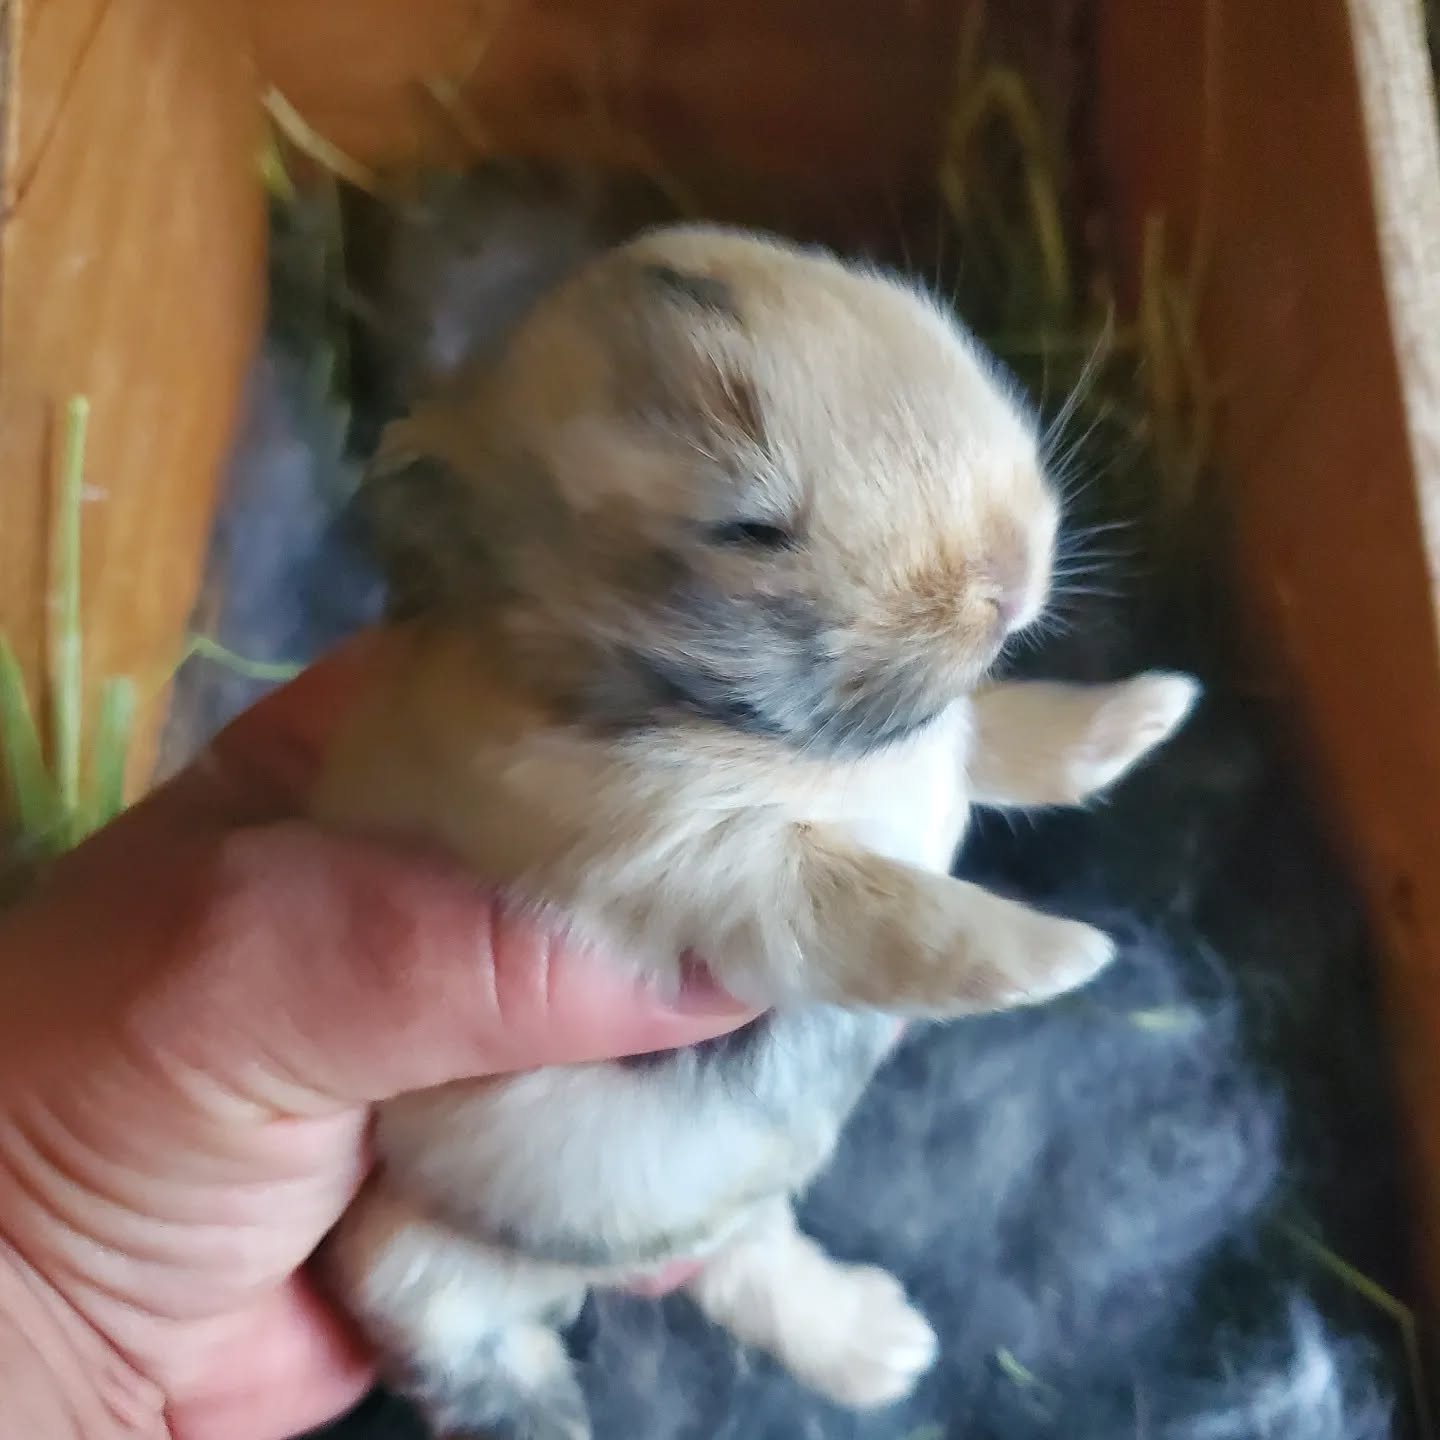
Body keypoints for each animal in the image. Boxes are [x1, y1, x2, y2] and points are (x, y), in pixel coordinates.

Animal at [309, 220, 1201, 1440]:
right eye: (750, 525)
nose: (1009, 575)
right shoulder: (706, 865)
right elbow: (884, 915)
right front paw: (1064, 958)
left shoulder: (943, 745)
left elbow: (1008, 737)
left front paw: (1149, 712)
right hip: (434, 1242)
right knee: (448, 1319)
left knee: (746, 1269)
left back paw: (885, 1352)